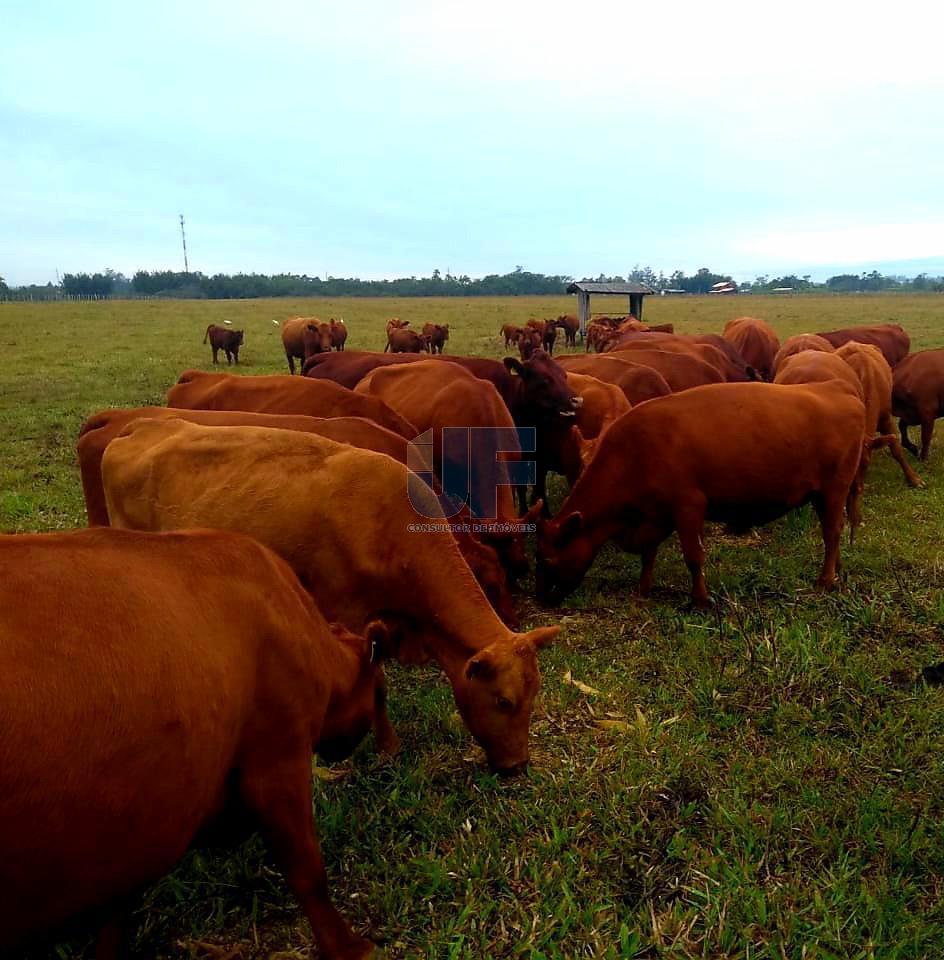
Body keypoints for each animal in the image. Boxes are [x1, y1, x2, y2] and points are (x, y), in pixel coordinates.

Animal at [0, 524, 390, 960]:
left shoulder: (135, 829)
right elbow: (307, 869)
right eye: (380, 693)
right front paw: (351, 947)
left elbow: (115, 918)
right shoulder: (278, 756)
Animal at [103, 420, 560, 772]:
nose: (518, 767)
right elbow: (375, 684)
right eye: (504, 700)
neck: (387, 525)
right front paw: (385, 747)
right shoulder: (349, 615)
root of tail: (140, 427)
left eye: (535, 695)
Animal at [540, 382, 872, 608]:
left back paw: (825, 580)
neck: (633, 451)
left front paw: (700, 600)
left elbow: (693, 557)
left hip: (833, 491)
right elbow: (648, 554)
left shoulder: (688, 508)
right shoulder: (655, 516)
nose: (541, 597)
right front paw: (643, 589)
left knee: (832, 533)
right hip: (823, 496)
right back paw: (838, 570)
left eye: (548, 560)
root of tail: (838, 388)